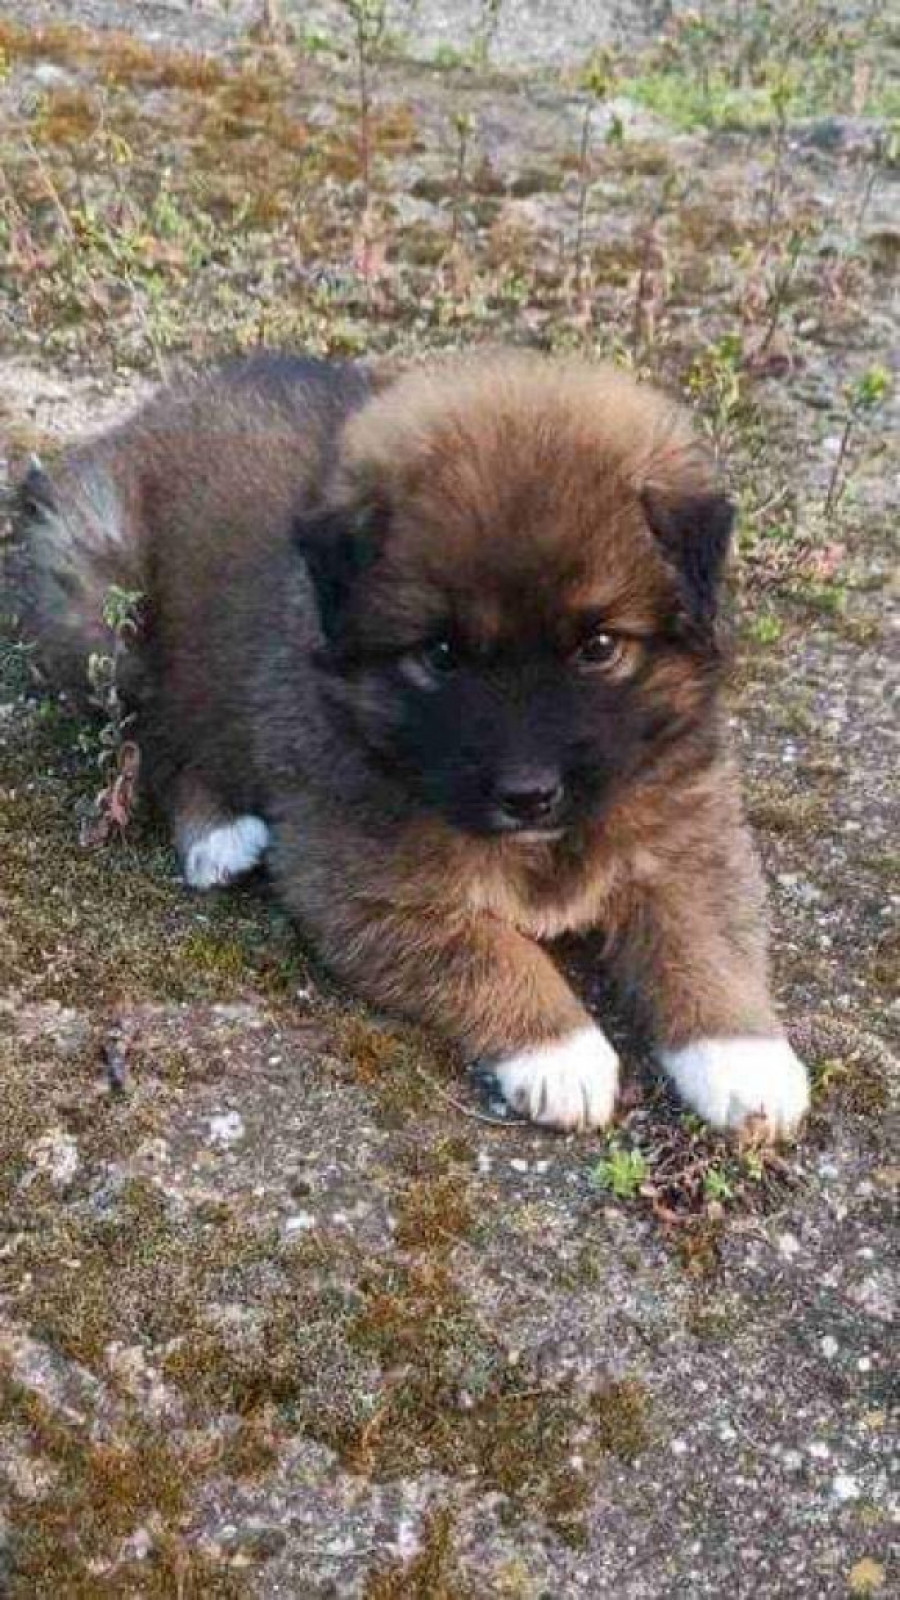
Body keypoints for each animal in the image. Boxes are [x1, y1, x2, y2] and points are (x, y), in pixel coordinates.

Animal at [15, 349, 810, 1136]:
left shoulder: (687, 838)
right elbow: (493, 951)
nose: (529, 796)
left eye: (601, 646)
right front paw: (563, 1054)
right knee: (153, 739)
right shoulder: (367, 888)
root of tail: (132, 424)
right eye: (442, 654)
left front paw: (743, 1060)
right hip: (102, 613)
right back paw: (217, 835)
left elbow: (704, 941)